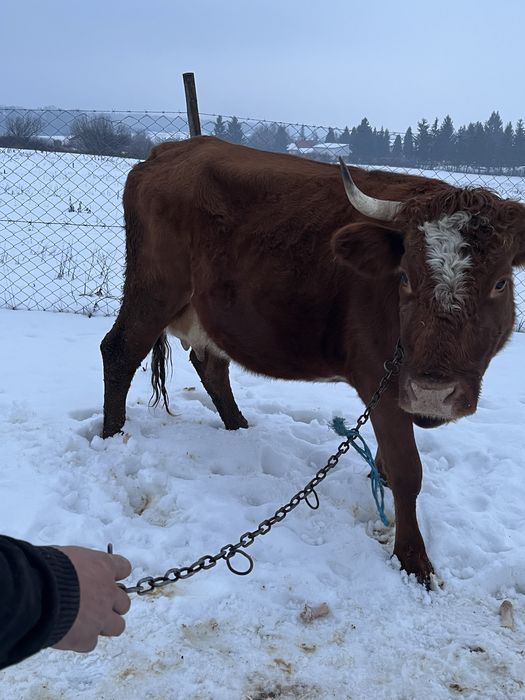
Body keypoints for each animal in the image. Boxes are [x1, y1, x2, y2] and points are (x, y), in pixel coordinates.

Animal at [101, 136, 525, 584]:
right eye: (406, 277)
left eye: (500, 283)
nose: (433, 393)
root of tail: (174, 148)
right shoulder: (382, 377)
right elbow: (408, 471)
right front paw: (414, 561)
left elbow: (389, 462)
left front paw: (381, 481)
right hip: (154, 289)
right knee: (119, 351)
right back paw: (112, 436)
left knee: (211, 366)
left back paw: (239, 428)